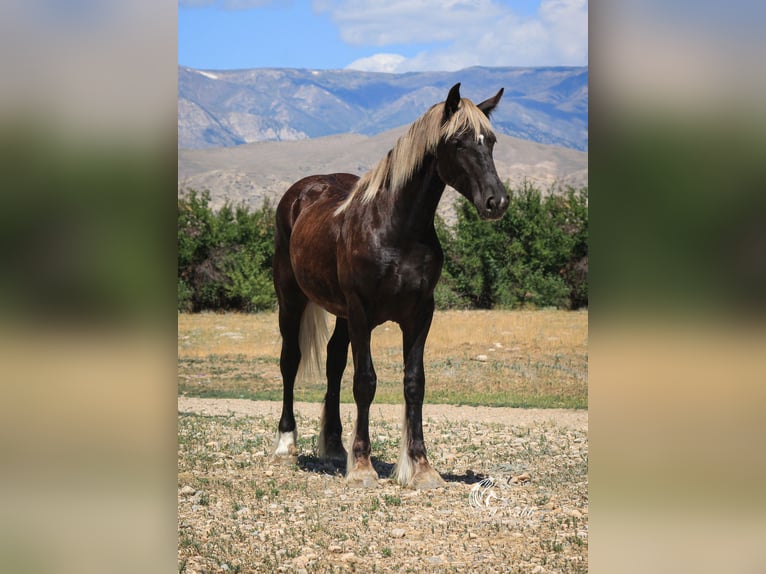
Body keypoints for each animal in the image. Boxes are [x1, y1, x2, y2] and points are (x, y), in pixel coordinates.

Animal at [272, 84, 508, 490]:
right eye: (458, 143)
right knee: (291, 361)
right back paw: (286, 445)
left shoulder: (420, 314)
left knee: (334, 362)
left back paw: (334, 447)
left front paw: (421, 468)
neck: (396, 229)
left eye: (490, 141)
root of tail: (301, 193)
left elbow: (414, 383)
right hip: (291, 299)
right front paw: (363, 468)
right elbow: (365, 382)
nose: (497, 202)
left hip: (340, 314)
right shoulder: (361, 312)